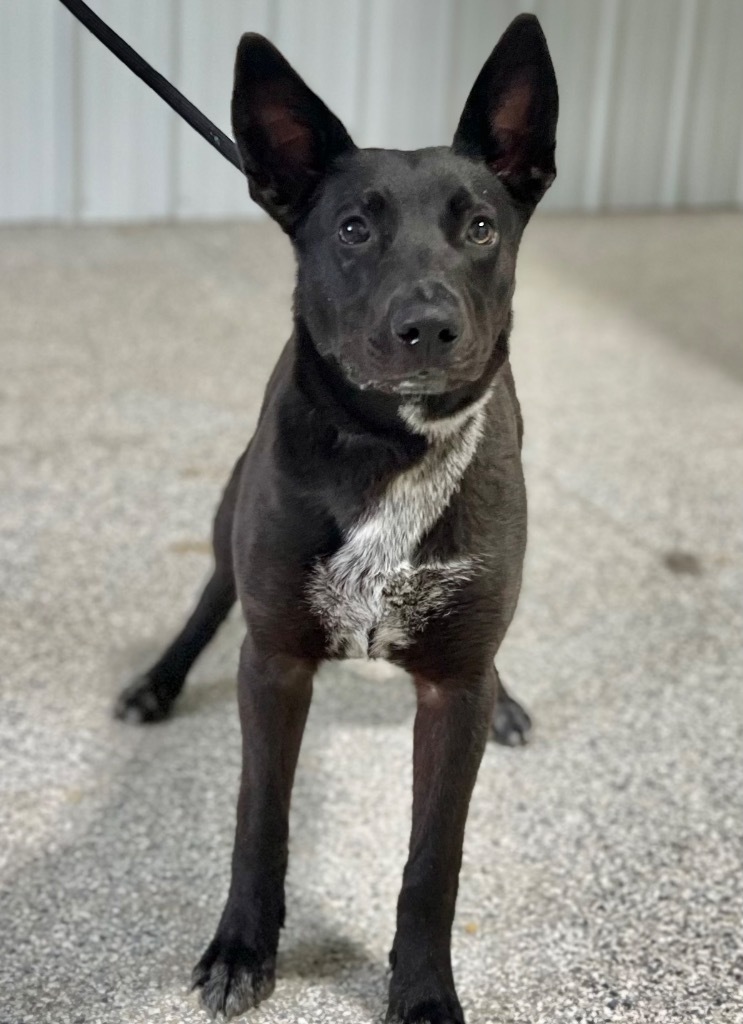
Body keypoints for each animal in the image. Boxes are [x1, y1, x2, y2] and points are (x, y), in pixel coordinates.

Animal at [116, 16, 556, 1024]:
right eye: (352, 228)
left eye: (480, 226)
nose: (426, 326)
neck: (390, 447)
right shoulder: (274, 663)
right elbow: (258, 822)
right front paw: (242, 948)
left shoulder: (452, 690)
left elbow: (433, 862)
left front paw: (423, 991)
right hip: (229, 524)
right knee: (209, 601)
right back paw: (158, 682)